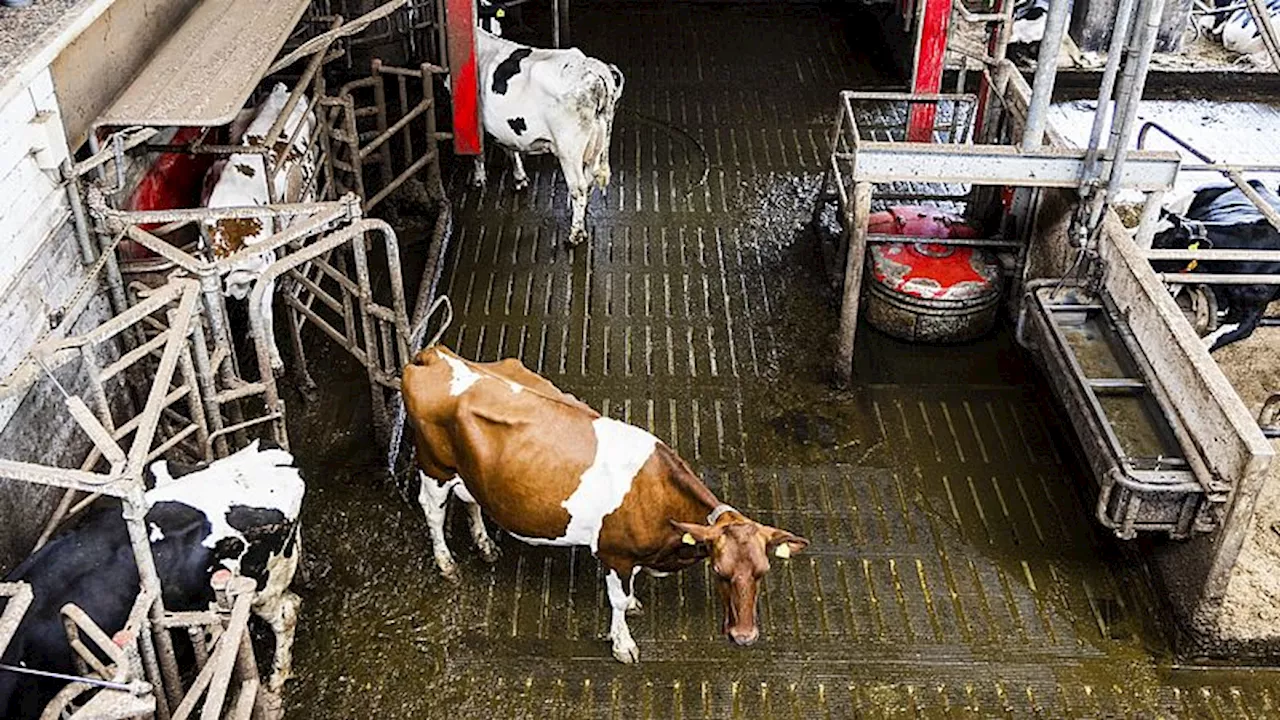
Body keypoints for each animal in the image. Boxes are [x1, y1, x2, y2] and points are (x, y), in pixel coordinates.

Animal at [399, 345, 803, 661]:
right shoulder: (614, 553)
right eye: (719, 572)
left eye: (763, 571)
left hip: (471, 472)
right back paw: (447, 564)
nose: (744, 636)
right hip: (434, 466)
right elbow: (618, 600)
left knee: (472, 501)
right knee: (432, 512)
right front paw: (623, 644)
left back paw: (485, 546)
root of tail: (436, 354)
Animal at [476, 6, 624, 243]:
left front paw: (479, 179)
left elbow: (477, 149)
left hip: (569, 150)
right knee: (589, 181)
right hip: (597, 143)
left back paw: (575, 235)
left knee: (578, 187)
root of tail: (597, 71)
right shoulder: (504, 127)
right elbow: (510, 148)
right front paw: (519, 178)